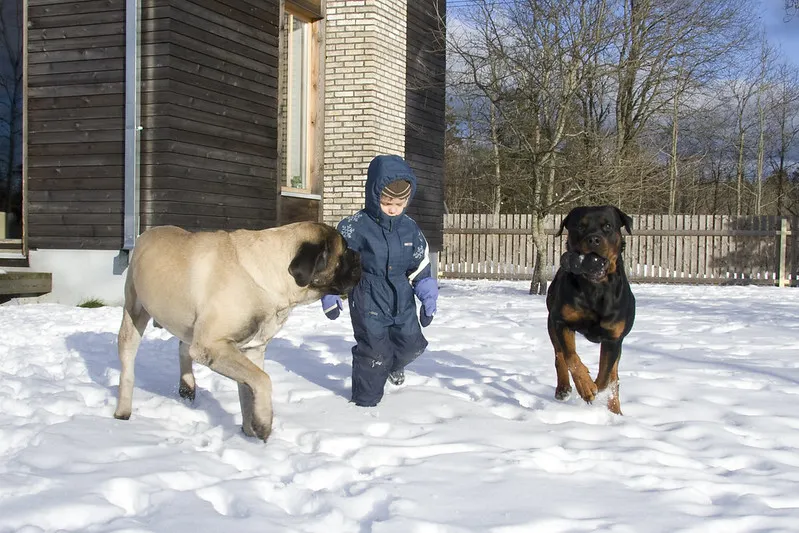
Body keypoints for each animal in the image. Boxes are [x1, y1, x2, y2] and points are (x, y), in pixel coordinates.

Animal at [113, 221, 362, 440]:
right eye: (344, 252)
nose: (359, 256)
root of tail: (146, 234)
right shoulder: (213, 346)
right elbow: (263, 379)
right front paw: (263, 425)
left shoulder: (250, 349)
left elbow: (248, 391)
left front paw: (250, 430)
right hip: (134, 312)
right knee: (128, 364)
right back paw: (123, 411)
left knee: (183, 345)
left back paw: (187, 386)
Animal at [544, 206, 636, 414]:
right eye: (580, 226)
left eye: (608, 226)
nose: (594, 239)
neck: (595, 288)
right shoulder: (561, 321)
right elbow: (571, 357)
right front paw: (585, 386)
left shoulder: (613, 338)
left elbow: (605, 375)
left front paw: (595, 388)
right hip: (551, 320)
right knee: (559, 354)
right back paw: (563, 388)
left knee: (614, 376)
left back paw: (615, 411)